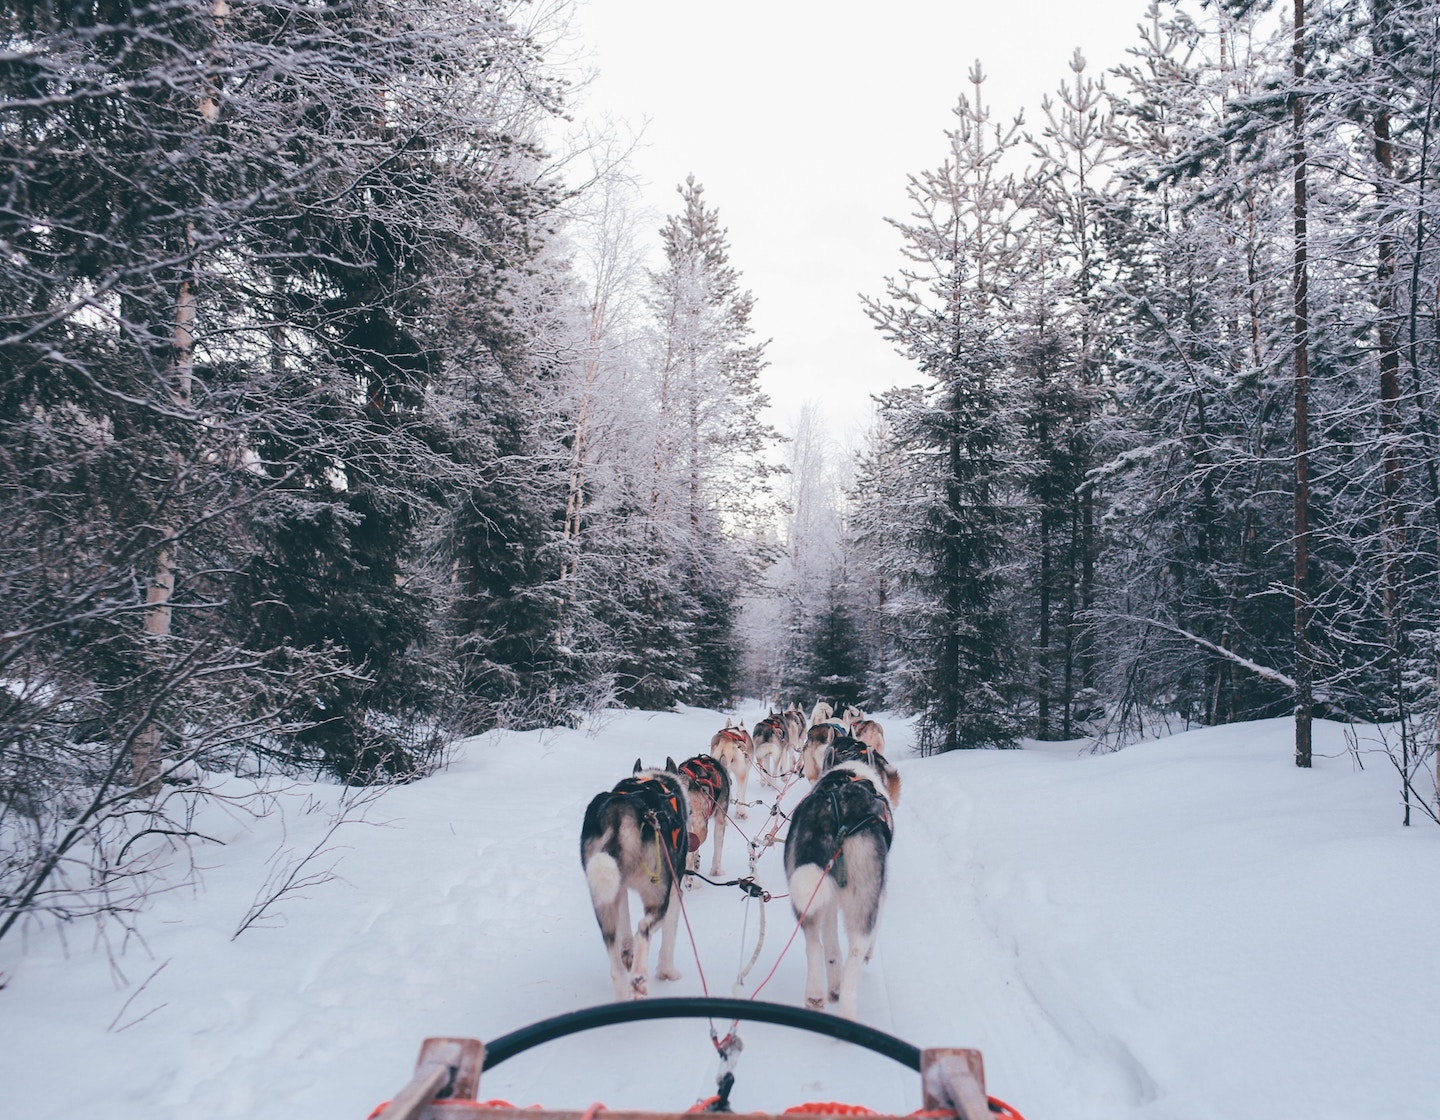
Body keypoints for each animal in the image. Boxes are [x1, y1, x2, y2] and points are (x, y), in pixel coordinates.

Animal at [578, 754, 691, 1001]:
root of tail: (620, 811)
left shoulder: (618, 889)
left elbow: (625, 921)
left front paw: (627, 952)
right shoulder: (674, 891)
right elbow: (668, 935)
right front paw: (668, 972)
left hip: (603, 900)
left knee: (615, 961)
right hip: (657, 894)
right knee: (643, 930)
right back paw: (639, 978)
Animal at [676, 748, 731, 886]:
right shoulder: (720, 821)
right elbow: (718, 848)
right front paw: (716, 871)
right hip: (702, 828)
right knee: (688, 854)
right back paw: (690, 880)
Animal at [783, 754, 892, 1019]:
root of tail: (837, 812)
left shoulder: (829, 898)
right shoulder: (880, 895)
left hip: (808, 893)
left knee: (817, 945)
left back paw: (817, 993)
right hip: (864, 901)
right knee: (854, 956)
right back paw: (847, 1009)